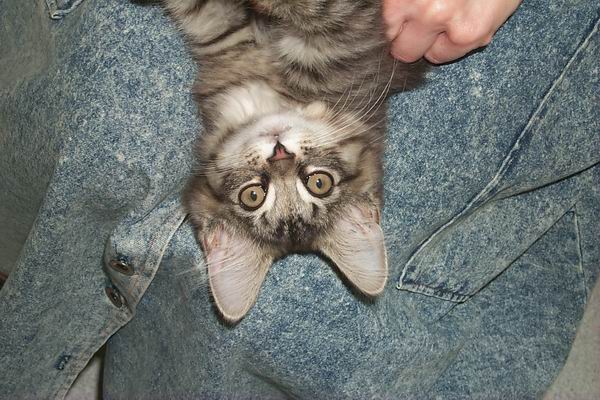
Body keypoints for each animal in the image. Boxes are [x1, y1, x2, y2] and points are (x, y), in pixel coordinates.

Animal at [163, 0, 424, 322]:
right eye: (253, 195)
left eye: (319, 183)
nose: (280, 153)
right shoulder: (222, 35)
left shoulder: (343, 33)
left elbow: (311, 8)